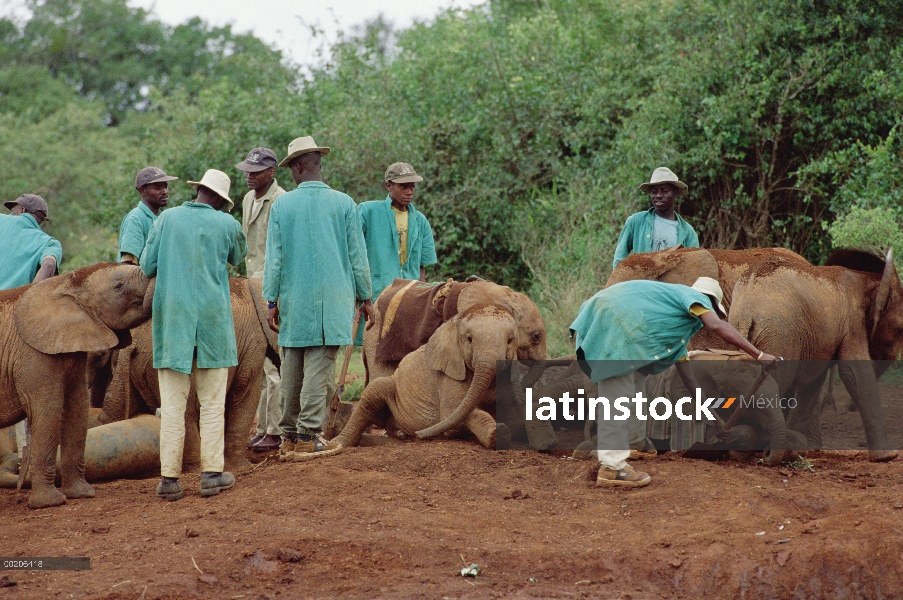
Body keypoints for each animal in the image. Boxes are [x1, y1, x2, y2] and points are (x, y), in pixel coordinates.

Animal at [332, 304, 520, 450]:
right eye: (469, 339)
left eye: (510, 340)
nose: (419, 434)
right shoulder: (449, 376)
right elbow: (454, 413)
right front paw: (498, 434)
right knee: (374, 391)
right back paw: (335, 445)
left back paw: (400, 434)